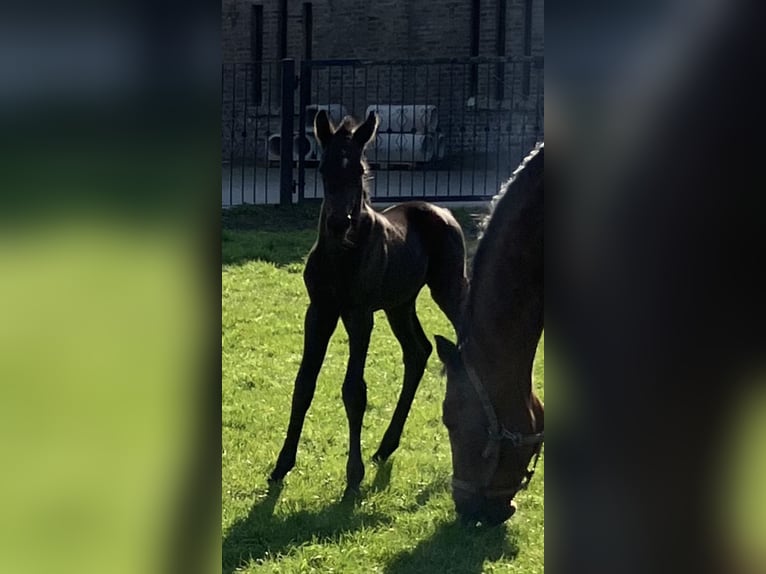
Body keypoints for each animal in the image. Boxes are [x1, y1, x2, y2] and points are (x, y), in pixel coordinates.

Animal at [268, 110, 468, 497]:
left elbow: (354, 390)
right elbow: (304, 383)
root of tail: (442, 210)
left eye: (359, 170)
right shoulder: (319, 311)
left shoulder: (359, 315)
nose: (338, 222)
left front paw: (353, 475)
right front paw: (281, 465)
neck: (340, 254)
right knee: (418, 350)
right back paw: (386, 446)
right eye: (323, 169)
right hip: (400, 304)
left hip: (448, 288)